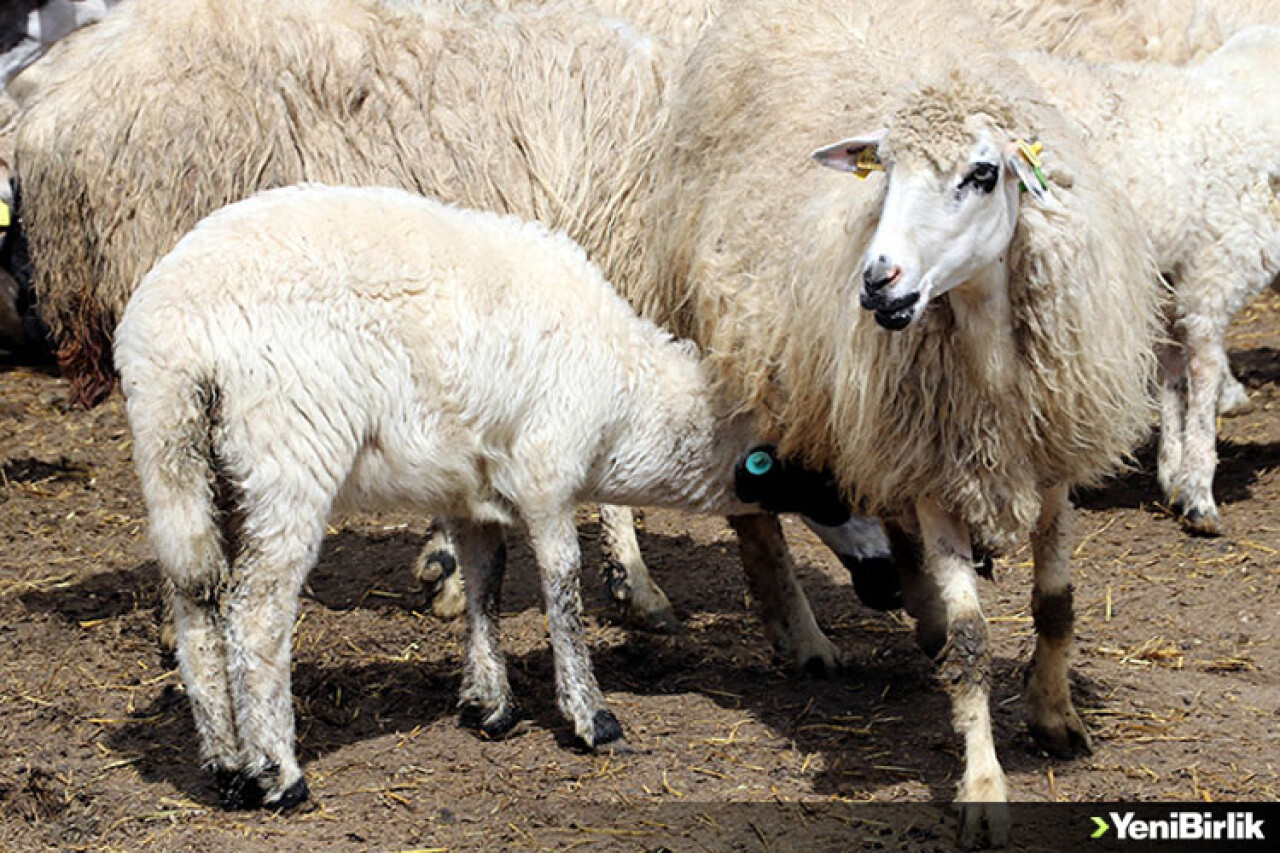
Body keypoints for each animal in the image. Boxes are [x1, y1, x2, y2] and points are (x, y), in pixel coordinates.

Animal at [112, 183, 849, 809]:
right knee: (256, 611)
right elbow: (561, 583)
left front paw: (488, 701)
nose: (850, 517)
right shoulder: (548, 466)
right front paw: (591, 715)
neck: (629, 403)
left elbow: (485, 582)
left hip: (182, 461)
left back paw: (225, 765)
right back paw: (277, 773)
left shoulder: (474, 489)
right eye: (816, 466)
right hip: (286, 450)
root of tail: (172, 334)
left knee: (197, 601)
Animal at [645, 0, 1167, 840]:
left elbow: (1056, 603)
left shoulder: (1049, 453)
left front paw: (1054, 716)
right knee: (756, 513)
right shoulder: (936, 472)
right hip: (739, 350)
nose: (876, 281)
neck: (988, 351)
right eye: (883, 171)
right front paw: (983, 784)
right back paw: (804, 636)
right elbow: (973, 639)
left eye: (982, 174)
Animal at [1008, 33, 1280, 535]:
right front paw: (1199, 492)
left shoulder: (1169, 274)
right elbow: (1204, 371)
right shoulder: (1212, 268)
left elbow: (1172, 368)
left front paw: (1173, 472)